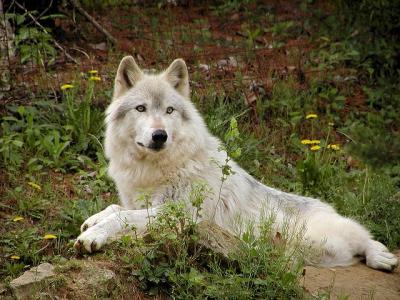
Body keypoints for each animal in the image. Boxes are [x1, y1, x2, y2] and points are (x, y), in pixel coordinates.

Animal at [74, 56, 396, 272]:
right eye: (141, 108)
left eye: (169, 110)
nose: (159, 135)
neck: (155, 168)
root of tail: (326, 206)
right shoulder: (141, 202)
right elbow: (116, 208)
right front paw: (93, 220)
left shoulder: (181, 214)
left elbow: (122, 217)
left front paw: (92, 236)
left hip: (320, 237)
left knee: (363, 237)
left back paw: (381, 257)